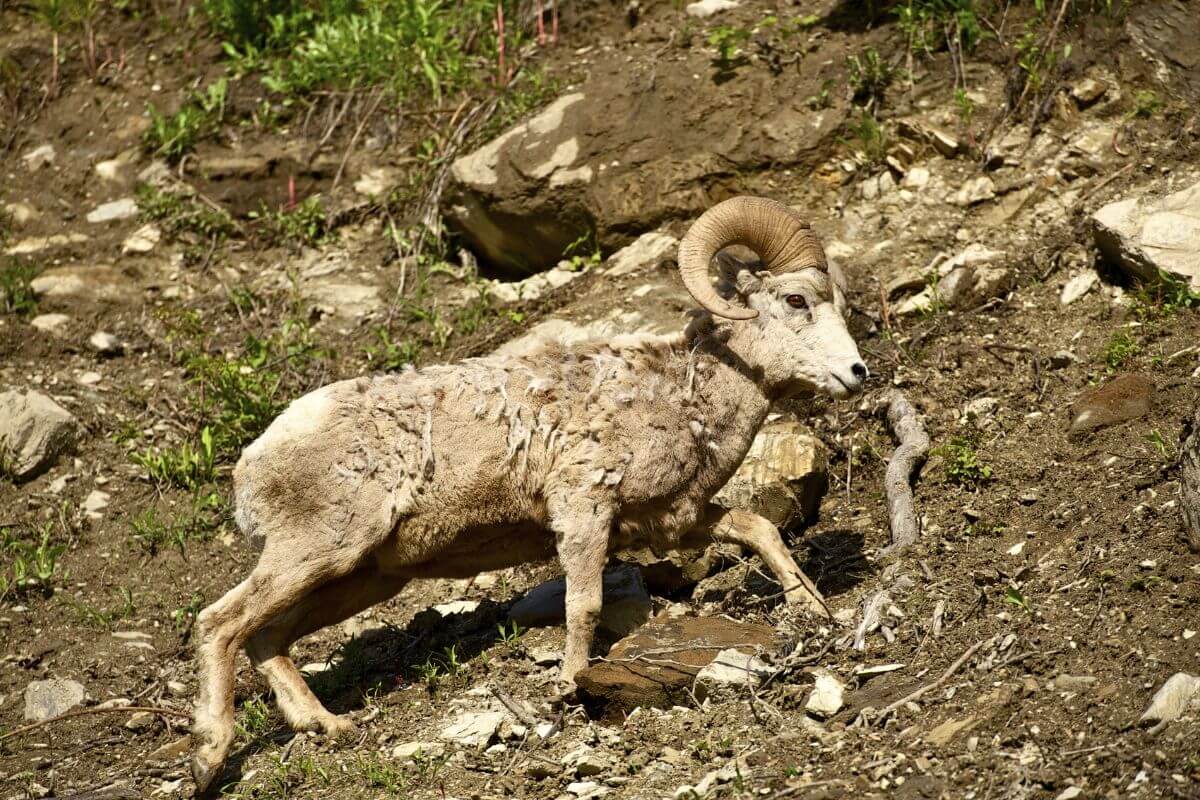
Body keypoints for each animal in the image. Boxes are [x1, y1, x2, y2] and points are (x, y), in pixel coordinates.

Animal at [190, 196, 867, 790]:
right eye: (796, 300)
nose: (857, 373)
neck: (678, 398)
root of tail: (252, 464)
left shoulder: (677, 519)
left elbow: (759, 527)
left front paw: (812, 608)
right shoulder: (584, 513)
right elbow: (584, 604)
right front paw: (571, 683)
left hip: (359, 579)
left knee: (265, 639)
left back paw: (328, 725)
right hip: (317, 552)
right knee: (219, 624)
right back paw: (209, 756)